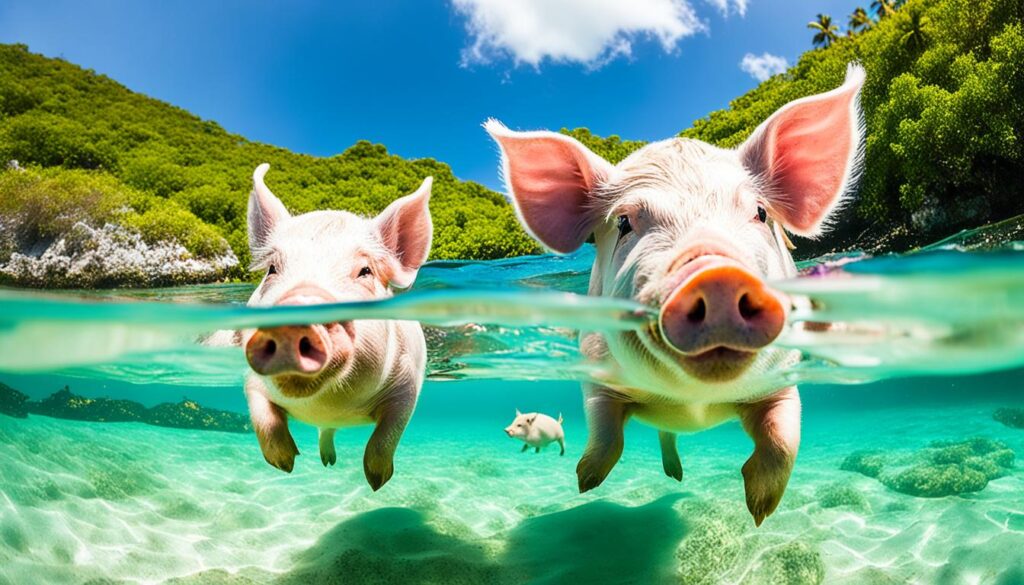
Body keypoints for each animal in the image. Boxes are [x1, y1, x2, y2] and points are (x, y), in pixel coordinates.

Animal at [241, 163, 432, 491]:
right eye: (272, 269)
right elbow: (262, 414)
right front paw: (285, 465)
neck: (328, 404)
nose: (293, 320)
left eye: (365, 271)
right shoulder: (251, 379)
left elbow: (388, 433)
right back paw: (325, 462)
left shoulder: (408, 383)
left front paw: (376, 481)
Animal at [486, 65, 866, 525]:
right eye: (624, 222)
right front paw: (585, 481)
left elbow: (783, 438)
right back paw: (672, 476)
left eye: (760, 213)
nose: (716, 275)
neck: (693, 402)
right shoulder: (594, 369)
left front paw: (759, 511)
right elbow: (605, 432)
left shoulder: (785, 376)